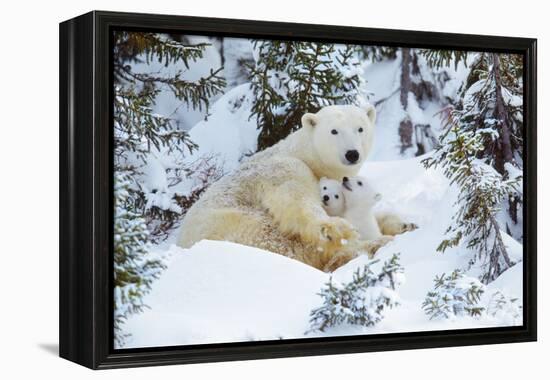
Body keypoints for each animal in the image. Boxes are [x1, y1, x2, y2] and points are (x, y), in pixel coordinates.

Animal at [179, 103, 412, 270]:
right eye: (334, 131)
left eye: (360, 129)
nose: (352, 153)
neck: (305, 155)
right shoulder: (286, 167)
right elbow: (295, 201)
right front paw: (336, 229)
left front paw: (403, 223)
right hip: (238, 224)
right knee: (284, 242)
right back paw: (371, 245)